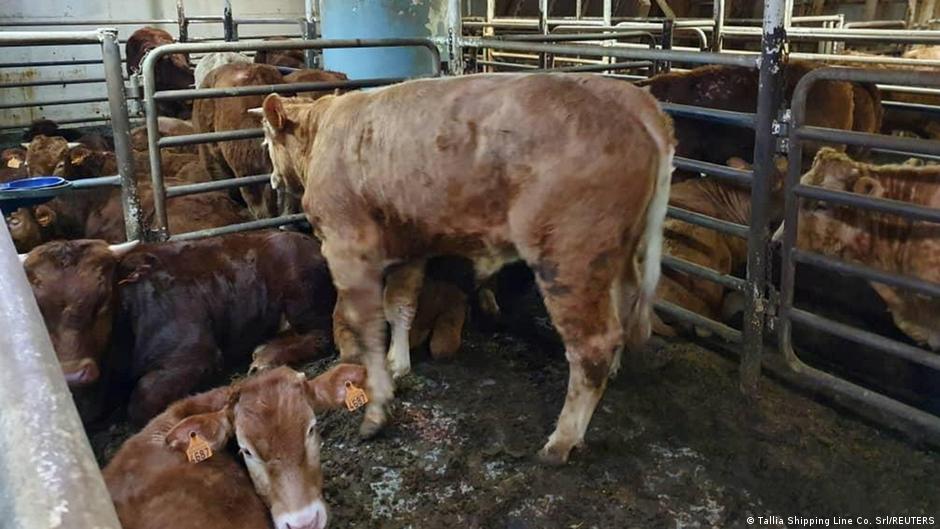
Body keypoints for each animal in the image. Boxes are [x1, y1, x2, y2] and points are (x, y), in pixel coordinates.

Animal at [21, 231, 340, 424]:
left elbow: (142, 400)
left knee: (322, 334)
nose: (73, 374)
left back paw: (267, 355)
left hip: (302, 297)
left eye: (102, 301)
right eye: (38, 307)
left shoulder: (195, 353)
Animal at [258, 73, 675, 464]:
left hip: (570, 256)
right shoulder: (410, 247)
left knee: (592, 345)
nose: (273, 179)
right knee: (623, 307)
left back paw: (561, 442)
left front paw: (377, 409)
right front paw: (399, 363)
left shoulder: (346, 247)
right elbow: (400, 305)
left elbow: (369, 327)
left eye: (266, 141)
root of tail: (635, 103)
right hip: (620, 251)